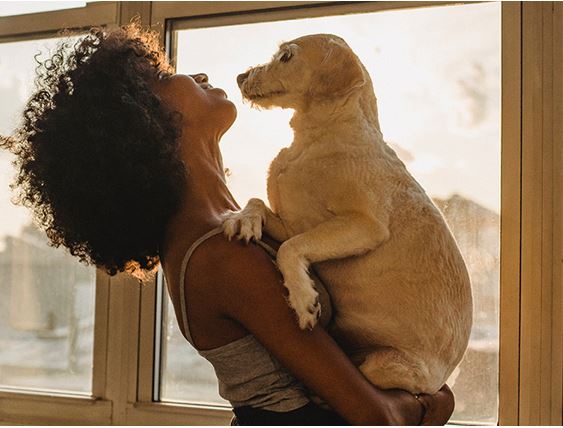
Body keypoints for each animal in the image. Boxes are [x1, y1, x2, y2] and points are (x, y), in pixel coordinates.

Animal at [223, 34, 474, 394]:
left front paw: (303, 299)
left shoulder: (365, 226)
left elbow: (291, 248)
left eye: (286, 56)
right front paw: (243, 218)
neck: (314, 139)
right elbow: (258, 201)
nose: (240, 77)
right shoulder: (293, 223)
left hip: (384, 367)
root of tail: (441, 381)